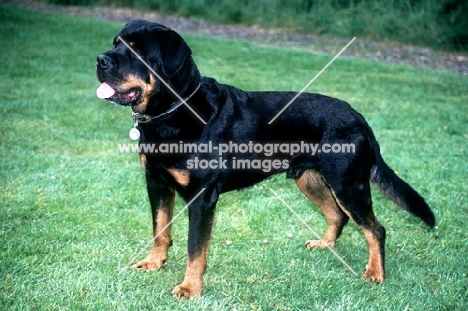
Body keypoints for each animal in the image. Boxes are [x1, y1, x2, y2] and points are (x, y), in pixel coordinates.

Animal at [95, 19, 436, 300]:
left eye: (137, 51)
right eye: (116, 43)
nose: (100, 60)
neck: (175, 113)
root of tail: (360, 119)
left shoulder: (202, 198)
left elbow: (195, 248)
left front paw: (190, 288)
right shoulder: (156, 183)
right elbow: (160, 229)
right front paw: (155, 262)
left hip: (348, 185)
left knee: (375, 229)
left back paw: (375, 273)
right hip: (310, 179)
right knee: (337, 216)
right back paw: (325, 245)